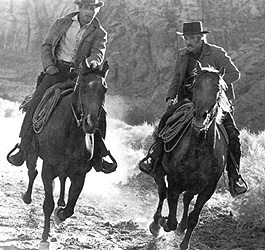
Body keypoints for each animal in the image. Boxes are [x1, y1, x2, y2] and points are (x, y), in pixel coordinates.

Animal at [20, 61, 109, 250]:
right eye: (82, 86)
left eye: (104, 89)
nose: (90, 123)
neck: (70, 133)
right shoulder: (48, 169)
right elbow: (48, 203)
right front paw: (44, 238)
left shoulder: (80, 175)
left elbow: (70, 207)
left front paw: (59, 215)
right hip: (32, 152)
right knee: (32, 171)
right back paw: (27, 196)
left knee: (61, 181)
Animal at [150, 62, 230, 250]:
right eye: (195, 85)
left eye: (218, 88)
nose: (200, 116)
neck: (199, 151)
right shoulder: (174, 182)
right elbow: (171, 212)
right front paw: (165, 223)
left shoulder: (208, 189)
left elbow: (194, 217)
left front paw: (184, 241)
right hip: (160, 171)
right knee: (162, 191)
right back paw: (156, 224)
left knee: (186, 199)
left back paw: (181, 226)